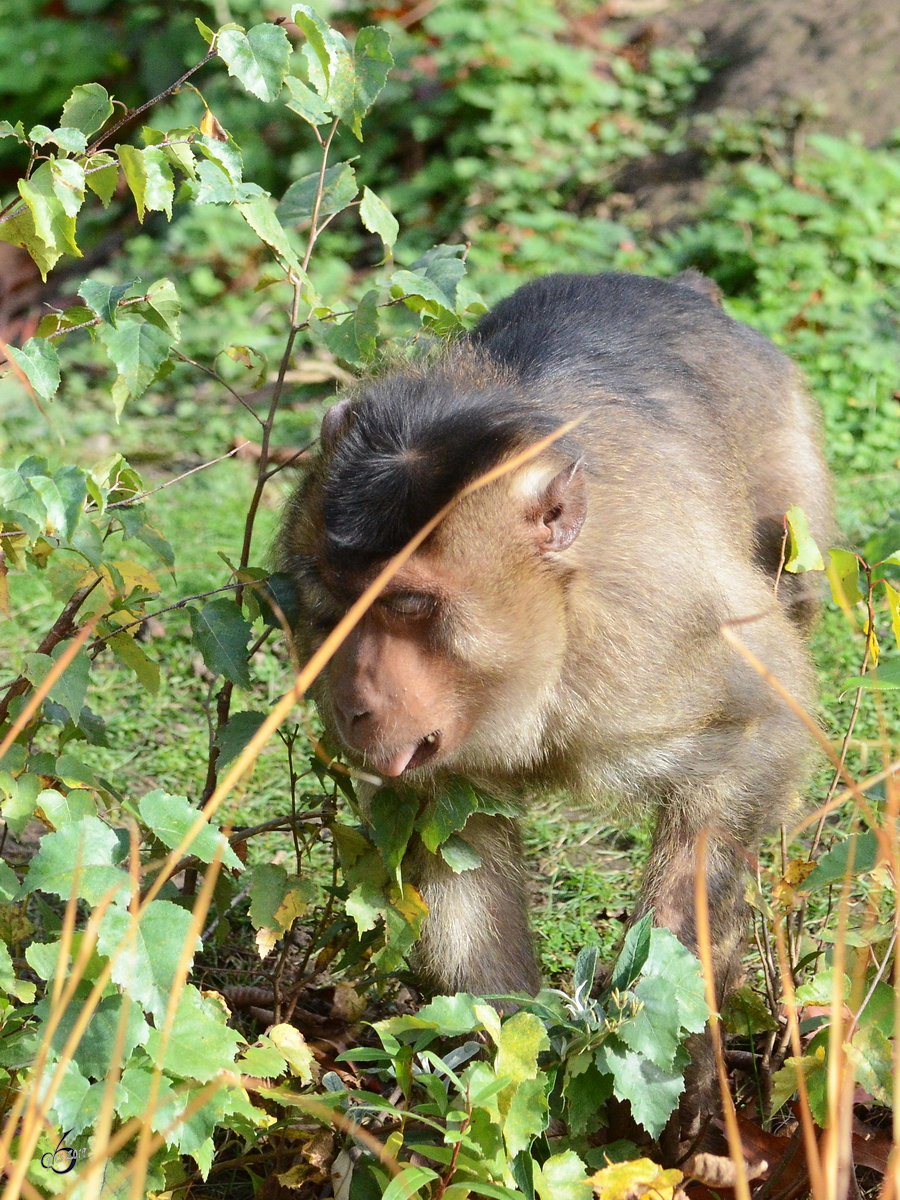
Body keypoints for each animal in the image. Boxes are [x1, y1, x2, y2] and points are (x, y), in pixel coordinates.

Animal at [277, 267, 840, 1118]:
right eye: (335, 604)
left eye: (407, 605)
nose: (351, 705)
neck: (551, 641)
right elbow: (449, 831)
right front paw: (506, 1074)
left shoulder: (661, 624)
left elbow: (759, 726)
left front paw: (669, 1036)